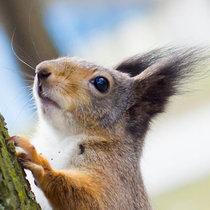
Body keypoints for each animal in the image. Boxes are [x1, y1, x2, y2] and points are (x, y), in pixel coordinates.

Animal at [9, 47, 208, 210]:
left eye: (101, 83)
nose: (41, 70)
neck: (58, 137)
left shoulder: (114, 173)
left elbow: (95, 201)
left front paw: (39, 163)